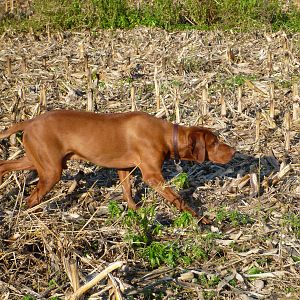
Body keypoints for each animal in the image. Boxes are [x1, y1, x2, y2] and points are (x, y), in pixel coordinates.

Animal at [0, 110, 234, 218]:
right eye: (214, 142)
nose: (233, 151)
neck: (168, 136)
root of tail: (31, 121)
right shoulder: (152, 176)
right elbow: (178, 198)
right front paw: (200, 218)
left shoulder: (125, 168)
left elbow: (128, 191)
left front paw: (135, 211)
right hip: (51, 171)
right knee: (32, 198)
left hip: (35, 160)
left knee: (4, 165)